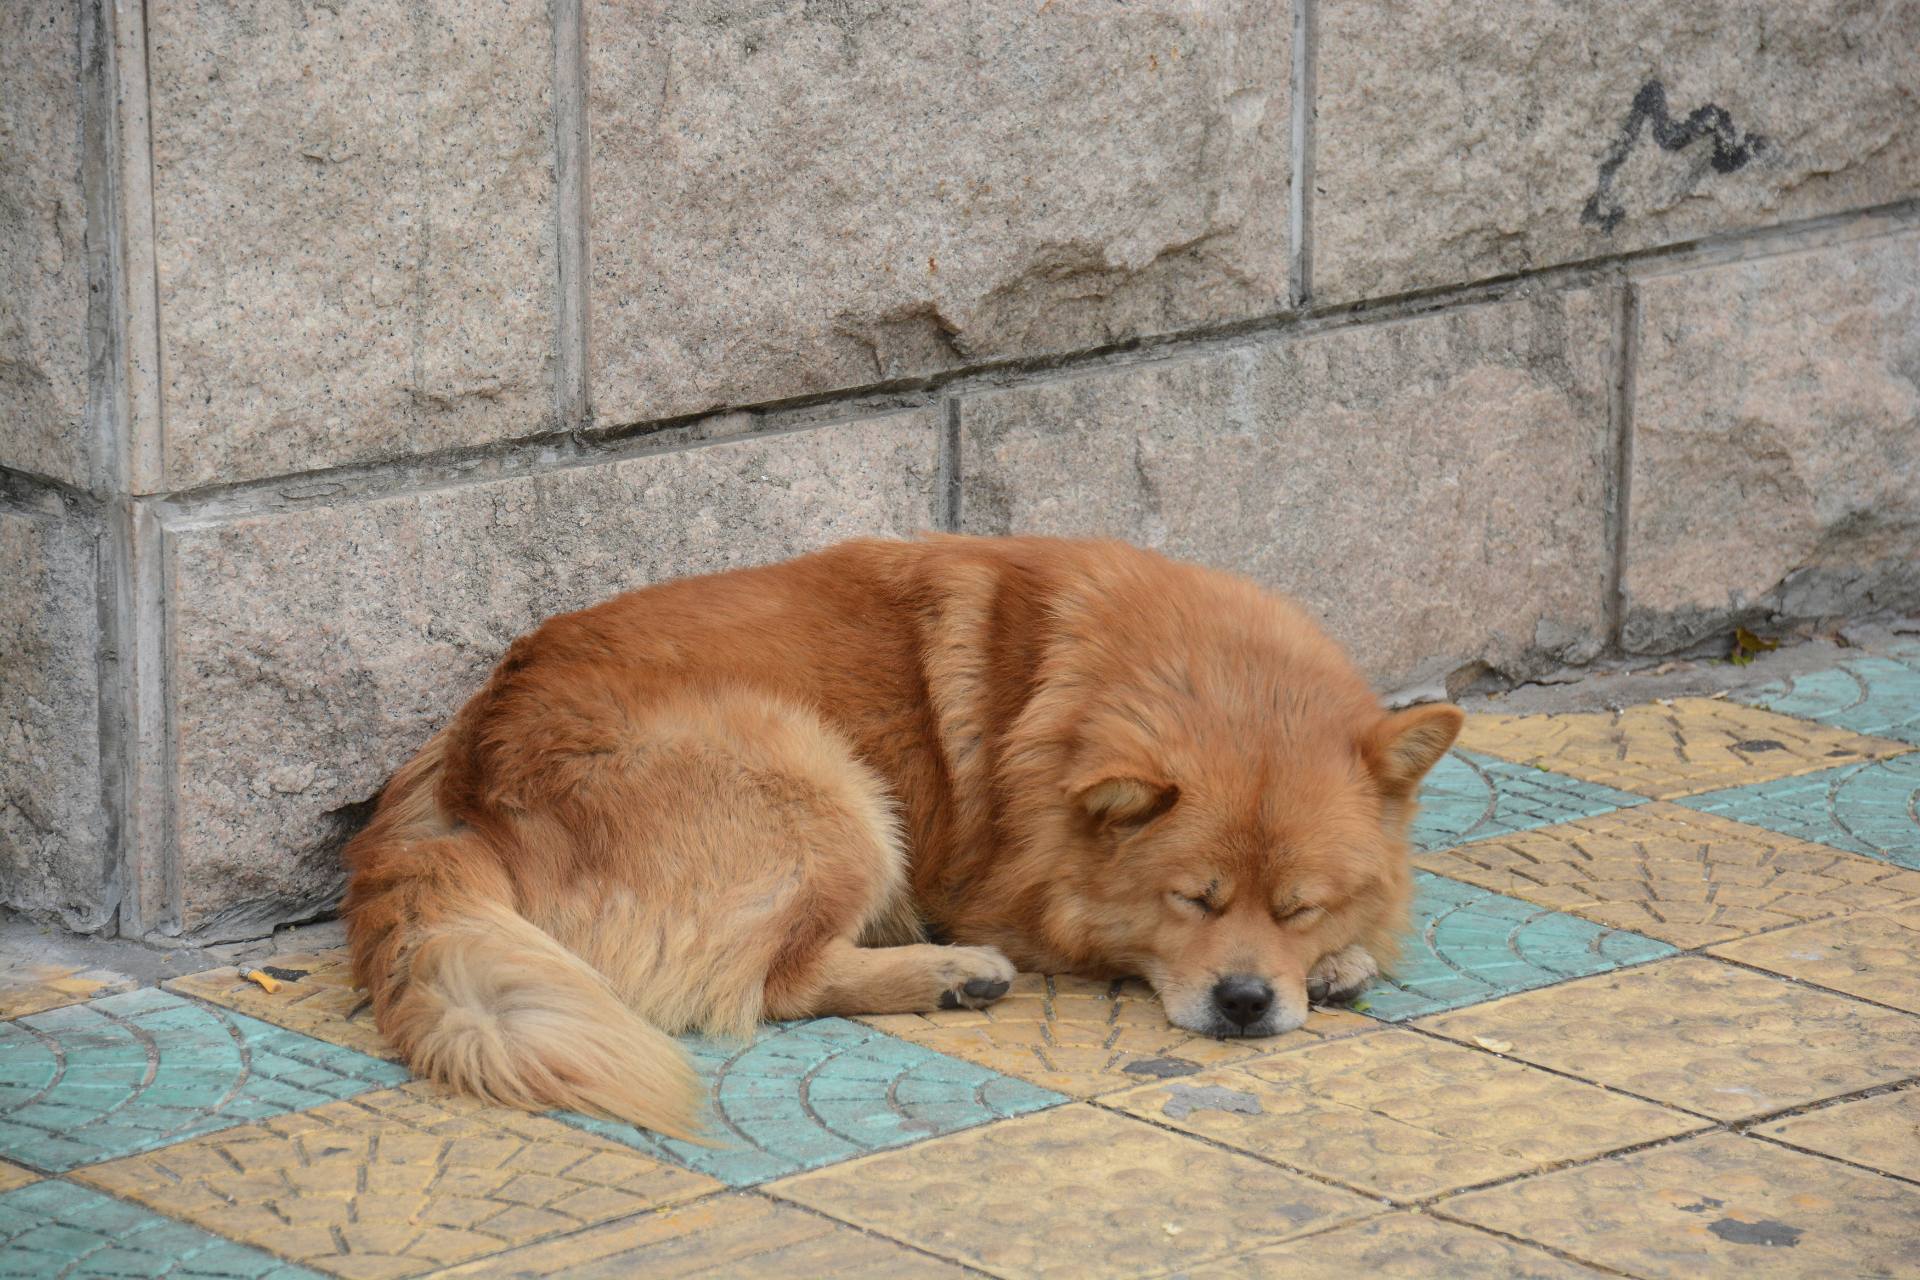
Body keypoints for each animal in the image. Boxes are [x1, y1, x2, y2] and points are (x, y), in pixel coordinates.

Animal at [341, 537, 1451, 1136]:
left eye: (1298, 904)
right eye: (1193, 899)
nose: (1246, 1003)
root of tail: (469, 770)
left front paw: (1338, 960)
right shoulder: (1015, 897)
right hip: (828, 793)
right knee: (778, 981)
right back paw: (948, 973)